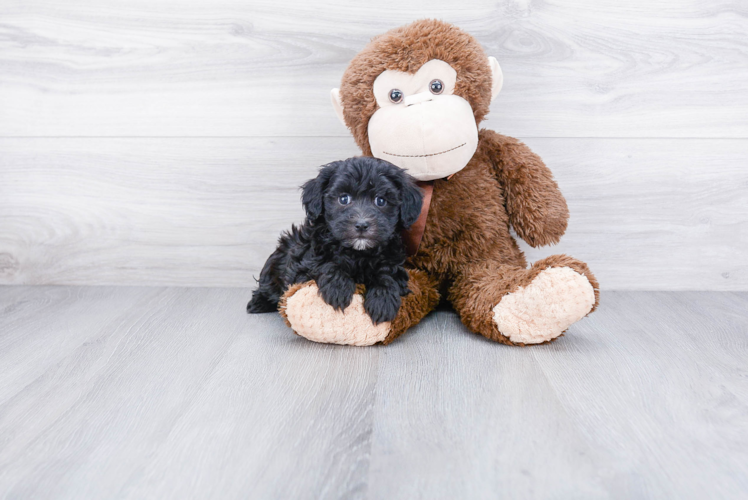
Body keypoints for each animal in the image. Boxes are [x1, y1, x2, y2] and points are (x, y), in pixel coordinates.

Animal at [245, 158, 420, 326]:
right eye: (344, 199)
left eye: (381, 201)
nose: (362, 224)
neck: (357, 253)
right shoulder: (302, 266)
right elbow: (324, 263)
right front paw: (338, 289)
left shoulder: (394, 261)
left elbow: (387, 273)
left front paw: (382, 301)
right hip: (277, 260)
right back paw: (258, 303)